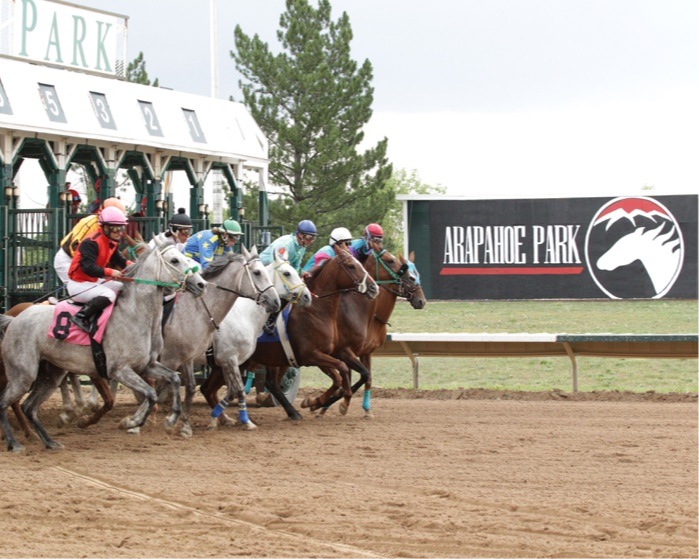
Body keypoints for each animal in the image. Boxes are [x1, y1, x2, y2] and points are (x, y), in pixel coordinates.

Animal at [0, 238, 206, 452]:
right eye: (174, 260)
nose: (201, 284)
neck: (135, 314)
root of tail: (13, 320)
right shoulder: (119, 369)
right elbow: (150, 394)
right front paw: (131, 422)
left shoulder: (147, 366)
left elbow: (174, 379)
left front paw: (171, 419)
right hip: (23, 374)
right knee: (5, 403)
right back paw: (14, 443)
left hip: (51, 375)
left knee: (29, 407)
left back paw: (50, 442)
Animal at [200, 248, 380, 420]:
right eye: (351, 266)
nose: (374, 288)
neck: (316, 311)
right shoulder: (311, 355)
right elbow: (340, 374)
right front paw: (322, 402)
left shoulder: (337, 350)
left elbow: (362, 373)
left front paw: (320, 403)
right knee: (211, 388)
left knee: (213, 388)